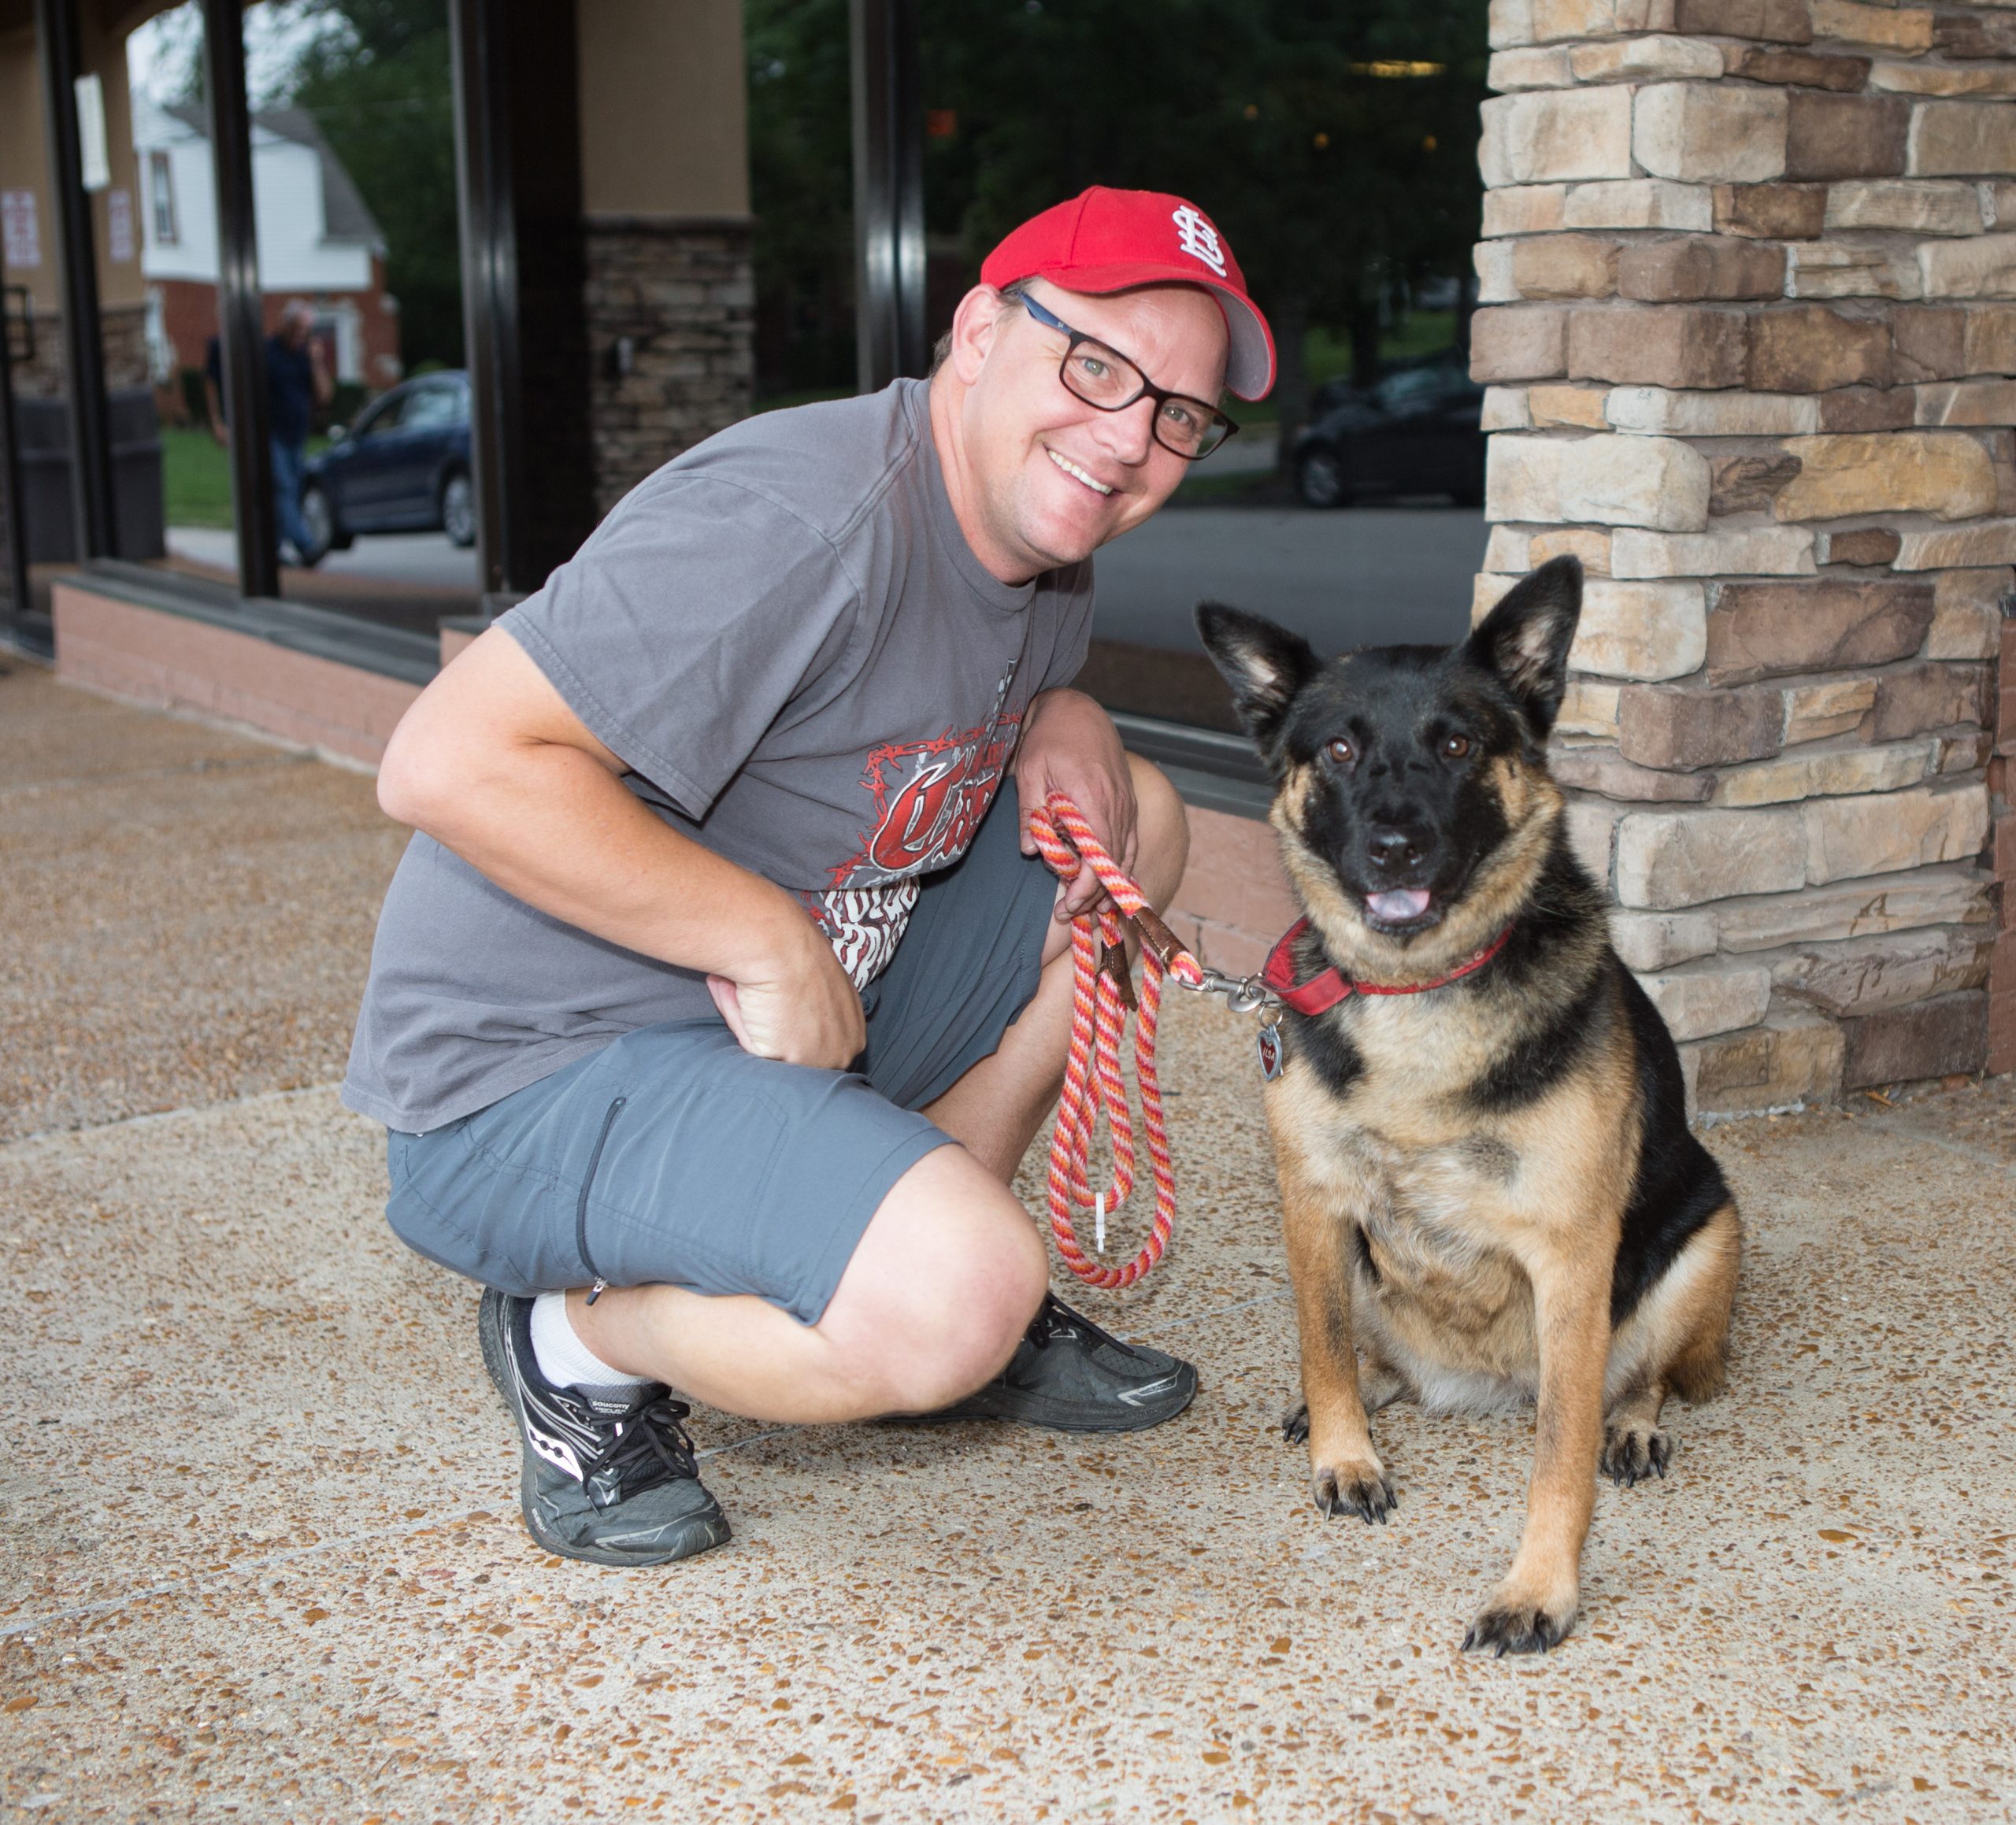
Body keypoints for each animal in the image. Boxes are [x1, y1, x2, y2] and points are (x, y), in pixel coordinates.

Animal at [1195, 555, 1740, 1656]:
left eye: (1454, 744)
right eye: (1341, 747)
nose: (1396, 846)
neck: (1420, 992)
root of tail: (1478, 1385)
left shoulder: (1571, 1257)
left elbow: (1559, 1455)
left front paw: (1540, 1586)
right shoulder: (1314, 1204)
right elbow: (1323, 1347)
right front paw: (1342, 1449)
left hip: (1710, 1234)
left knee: (1642, 1373)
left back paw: (1634, 1421)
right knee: (1365, 1346)